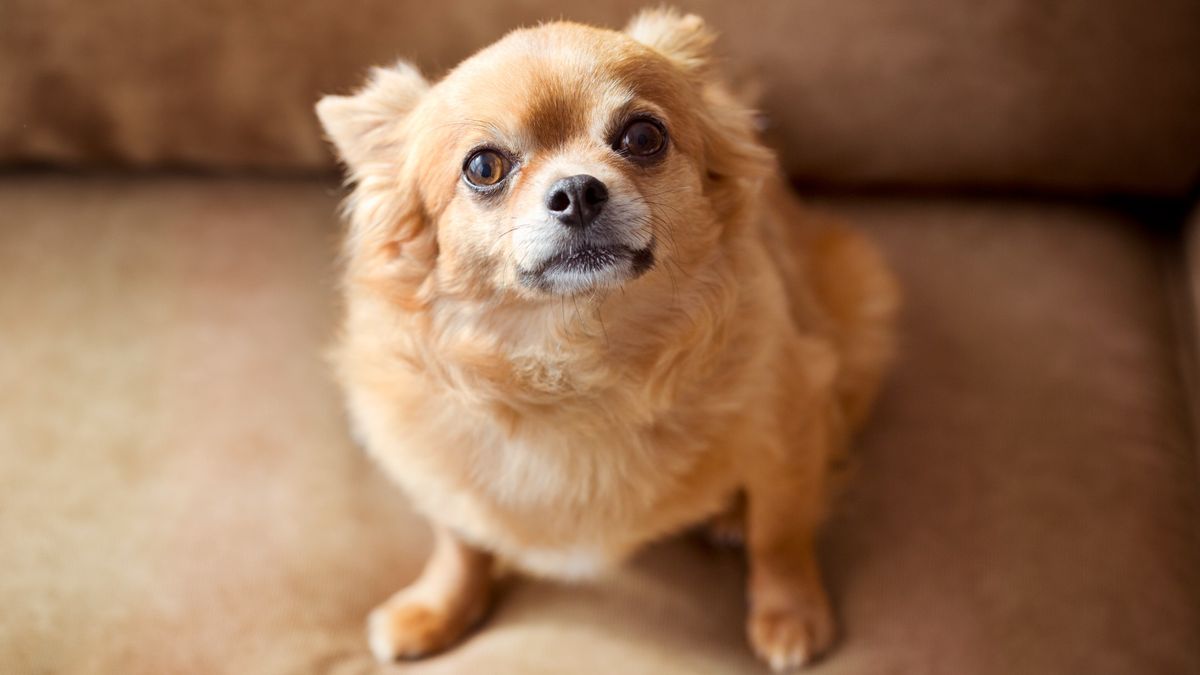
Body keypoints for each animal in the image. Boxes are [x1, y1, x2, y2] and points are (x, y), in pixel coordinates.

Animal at [314, 9, 897, 667]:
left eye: (643, 137)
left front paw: (790, 614)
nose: (577, 190)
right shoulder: (439, 466)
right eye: (483, 167)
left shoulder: (792, 418)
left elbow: (781, 531)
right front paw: (437, 609)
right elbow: (460, 540)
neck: (577, 352)